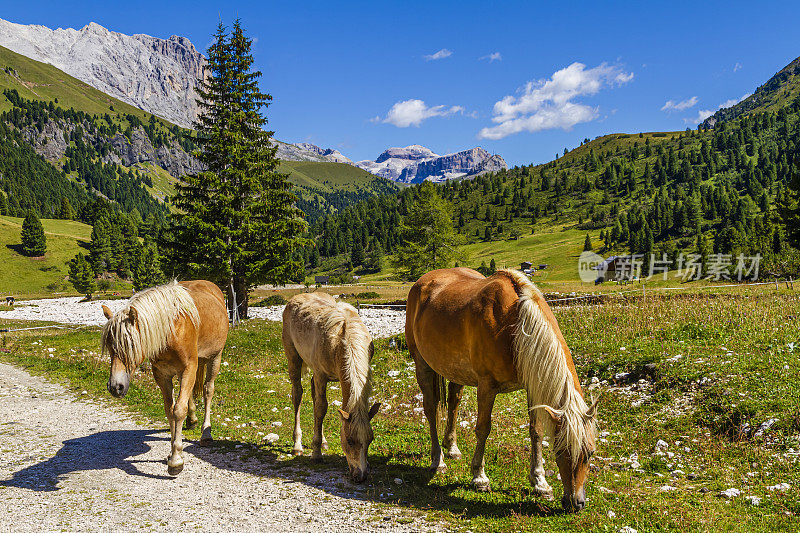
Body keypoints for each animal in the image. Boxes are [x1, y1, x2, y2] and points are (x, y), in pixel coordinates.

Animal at [102, 280, 228, 476]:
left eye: (131, 345)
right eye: (109, 346)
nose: (116, 387)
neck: (171, 329)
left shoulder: (188, 369)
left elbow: (178, 410)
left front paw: (176, 461)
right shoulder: (162, 375)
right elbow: (170, 411)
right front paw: (173, 452)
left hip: (215, 357)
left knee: (208, 390)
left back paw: (206, 434)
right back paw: (192, 420)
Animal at [282, 294, 382, 480]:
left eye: (370, 440)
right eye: (349, 441)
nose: (360, 475)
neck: (341, 342)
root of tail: (295, 298)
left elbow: (318, 407)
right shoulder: (321, 375)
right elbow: (321, 408)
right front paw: (316, 454)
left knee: (313, 394)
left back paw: (323, 441)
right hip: (293, 358)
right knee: (297, 394)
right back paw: (297, 445)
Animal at [410, 268, 596, 510]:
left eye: (590, 453)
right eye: (560, 450)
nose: (576, 503)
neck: (514, 326)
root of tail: (422, 281)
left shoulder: (532, 387)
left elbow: (536, 431)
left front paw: (540, 482)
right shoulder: (486, 386)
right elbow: (483, 429)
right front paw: (479, 477)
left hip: (454, 370)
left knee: (453, 402)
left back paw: (451, 448)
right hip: (421, 363)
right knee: (431, 409)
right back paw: (438, 460)